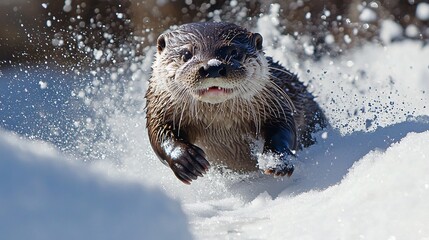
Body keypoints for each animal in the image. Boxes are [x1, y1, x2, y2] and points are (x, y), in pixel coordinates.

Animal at [144, 22, 324, 184]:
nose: (212, 67)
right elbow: (159, 134)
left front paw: (277, 161)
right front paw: (187, 160)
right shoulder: (159, 108)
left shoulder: (275, 103)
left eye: (234, 52)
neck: (219, 125)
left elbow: (284, 128)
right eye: (186, 54)